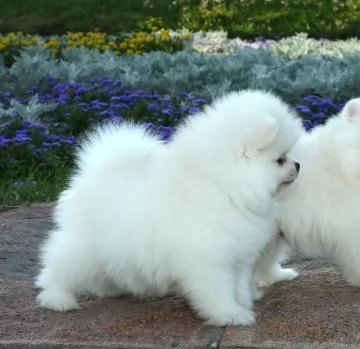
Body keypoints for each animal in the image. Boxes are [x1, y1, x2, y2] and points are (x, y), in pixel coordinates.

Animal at [35, 89, 300, 326]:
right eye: (280, 159)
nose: (298, 165)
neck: (225, 187)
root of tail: (95, 172)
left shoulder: (240, 256)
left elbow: (239, 287)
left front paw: (243, 305)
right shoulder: (210, 260)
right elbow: (219, 291)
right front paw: (230, 315)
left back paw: (110, 289)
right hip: (83, 248)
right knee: (58, 267)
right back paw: (58, 299)